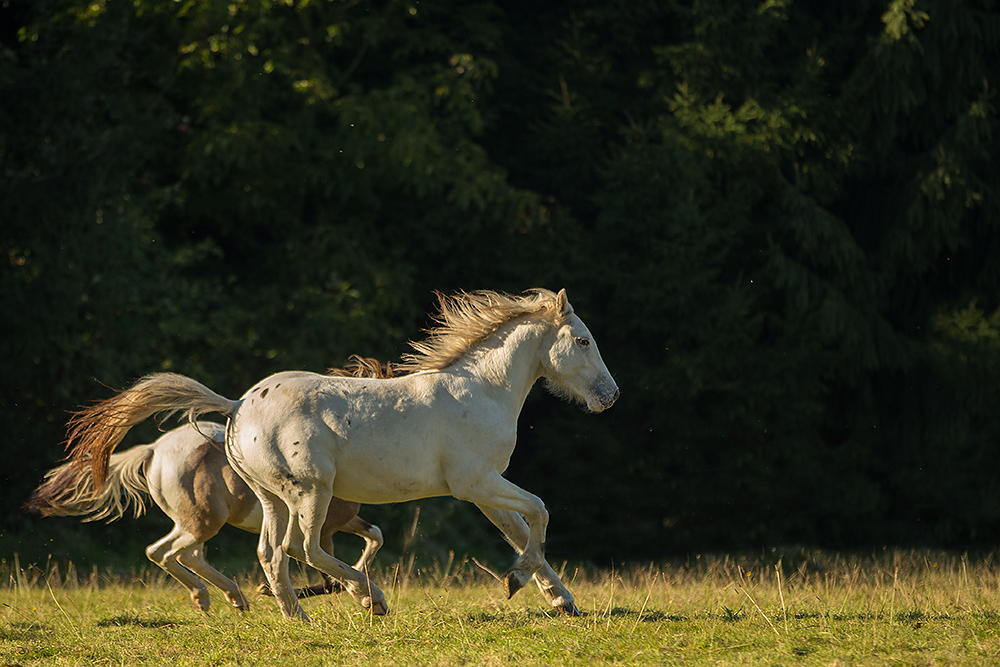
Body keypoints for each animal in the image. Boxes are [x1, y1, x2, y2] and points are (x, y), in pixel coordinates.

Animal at [24, 426, 382, 612]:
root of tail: (154, 449)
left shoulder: (344, 522)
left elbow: (374, 535)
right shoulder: (326, 529)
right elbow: (330, 575)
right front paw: (362, 594)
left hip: (193, 524)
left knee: (185, 556)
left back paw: (230, 597)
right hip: (202, 522)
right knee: (163, 552)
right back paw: (213, 596)